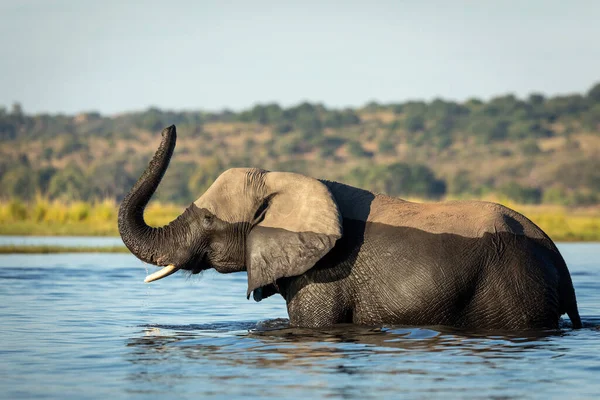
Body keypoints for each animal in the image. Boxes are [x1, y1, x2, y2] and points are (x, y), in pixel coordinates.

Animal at [117, 126, 580, 330]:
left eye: (209, 220)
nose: (169, 125)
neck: (284, 181)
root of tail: (555, 254)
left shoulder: (323, 277)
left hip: (513, 289)